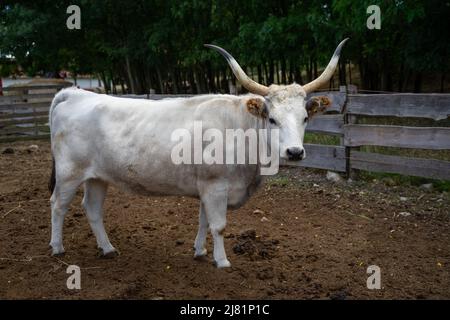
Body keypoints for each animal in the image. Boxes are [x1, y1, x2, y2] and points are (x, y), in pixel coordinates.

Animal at [47, 39, 346, 268]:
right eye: (272, 119)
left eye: (305, 118)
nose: (294, 152)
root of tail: (76, 94)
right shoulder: (216, 186)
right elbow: (219, 225)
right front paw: (222, 261)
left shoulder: (207, 187)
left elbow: (204, 222)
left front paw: (200, 252)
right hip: (69, 173)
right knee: (58, 205)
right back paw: (57, 247)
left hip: (97, 177)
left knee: (92, 209)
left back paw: (107, 248)